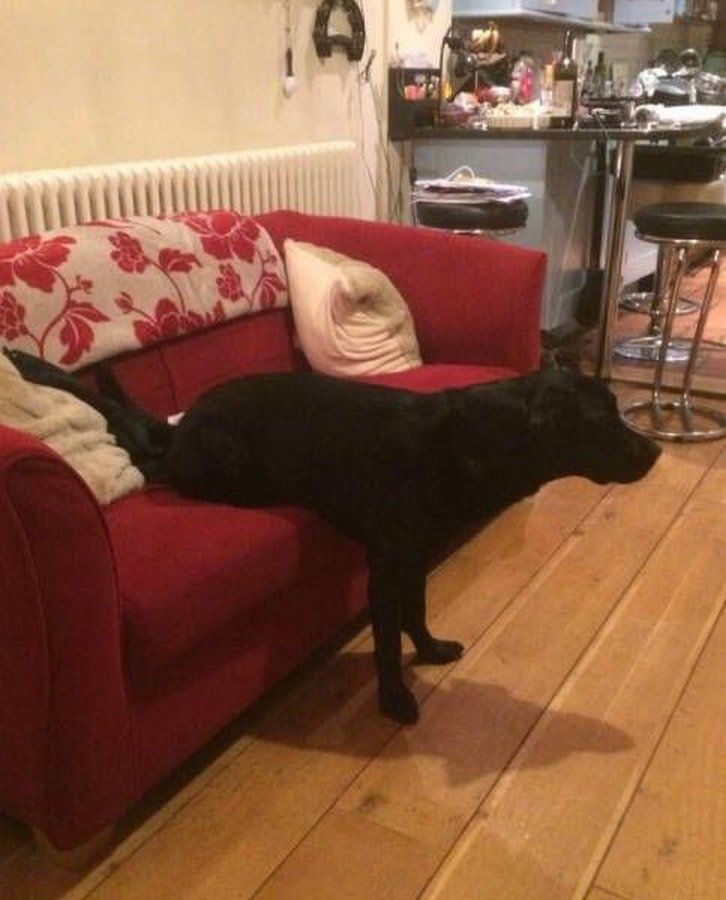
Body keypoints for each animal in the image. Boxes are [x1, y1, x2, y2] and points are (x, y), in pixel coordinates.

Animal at [167, 368, 661, 725]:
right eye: (602, 422)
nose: (656, 452)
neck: (470, 439)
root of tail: (184, 422)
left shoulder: (416, 556)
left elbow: (417, 611)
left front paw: (428, 651)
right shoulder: (385, 568)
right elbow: (386, 643)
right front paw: (394, 699)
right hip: (229, 460)